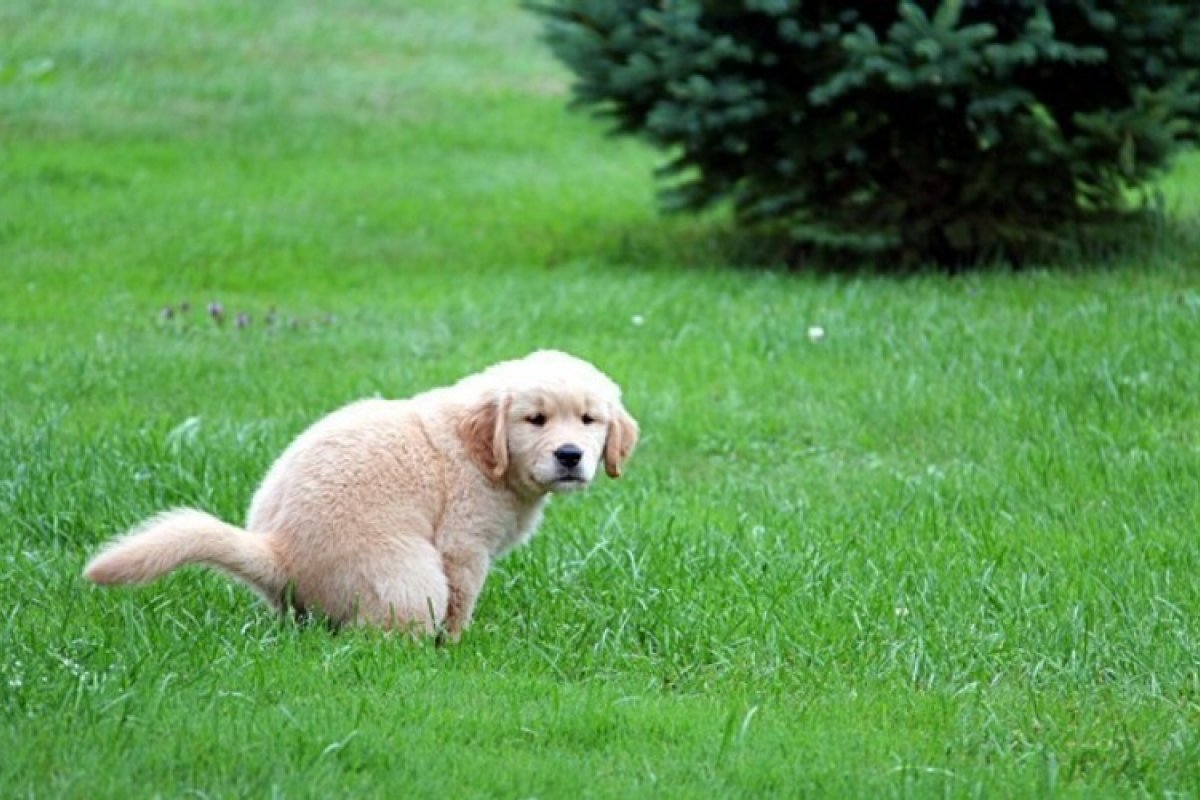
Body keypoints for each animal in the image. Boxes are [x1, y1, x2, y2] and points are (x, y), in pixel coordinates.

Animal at [83, 350, 638, 638]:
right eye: (535, 419)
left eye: (589, 420)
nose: (570, 455)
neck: (481, 451)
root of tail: (277, 554)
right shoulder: (462, 547)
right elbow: (461, 603)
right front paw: (457, 646)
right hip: (410, 578)